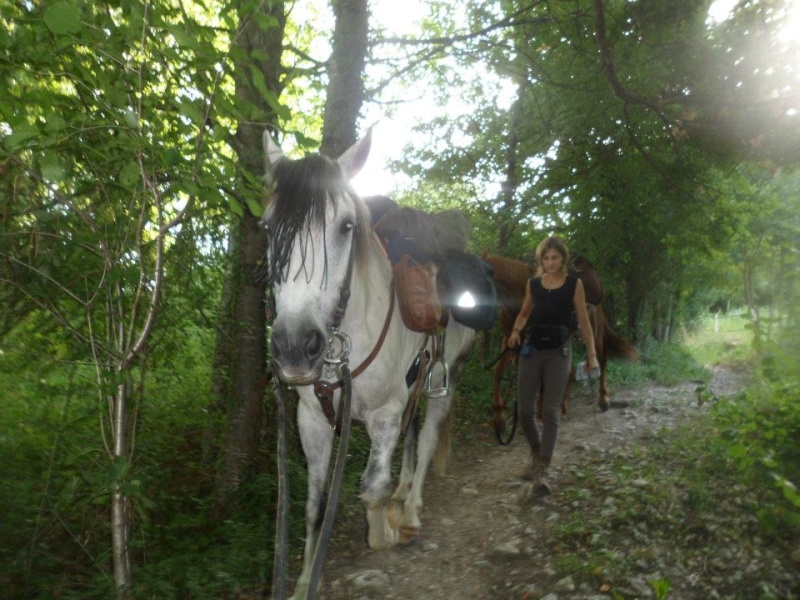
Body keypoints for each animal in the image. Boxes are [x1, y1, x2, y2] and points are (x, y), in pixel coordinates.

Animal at [262, 132, 476, 600]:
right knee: (414, 437)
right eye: (268, 228)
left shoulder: (384, 414)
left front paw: (386, 531)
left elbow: (371, 488)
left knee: (427, 437)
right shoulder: (311, 421)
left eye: (346, 226)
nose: (294, 346)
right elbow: (315, 505)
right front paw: (304, 580)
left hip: (444, 379)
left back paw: (410, 510)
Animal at [482, 255, 636, 434]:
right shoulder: (509, 341)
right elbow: (498, 373)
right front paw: (499, 417)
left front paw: (539, 418)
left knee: (602, 360)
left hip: (595, 334)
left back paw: (603, 399)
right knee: (570, 370)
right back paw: (562, 406)